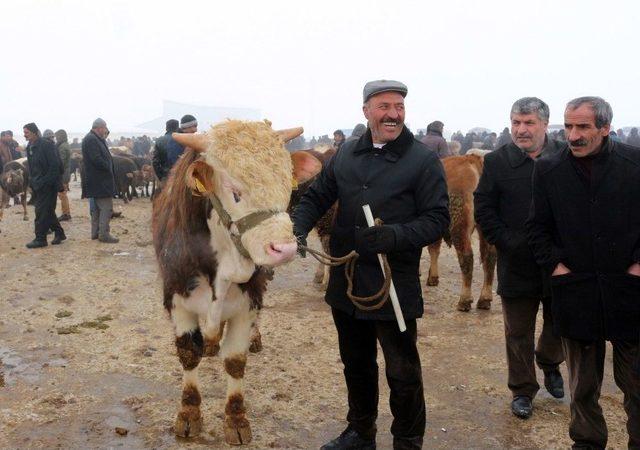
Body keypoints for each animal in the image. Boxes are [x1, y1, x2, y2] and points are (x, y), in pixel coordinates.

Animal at [152, 120, 322, 446]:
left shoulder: (247, 304)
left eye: (287, 185)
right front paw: (189, 415)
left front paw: (236, 419)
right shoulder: (177, 300)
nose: (284, 248)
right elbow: (188, 354)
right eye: (235, 192)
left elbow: (234, 360)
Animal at [424, 149, 500, 312]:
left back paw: (464, 300)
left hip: (459, 224)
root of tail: (471, 159)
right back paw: (484, 299)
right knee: (490, 256)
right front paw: (432, 277)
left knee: (467, 257)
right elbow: (434, 249)